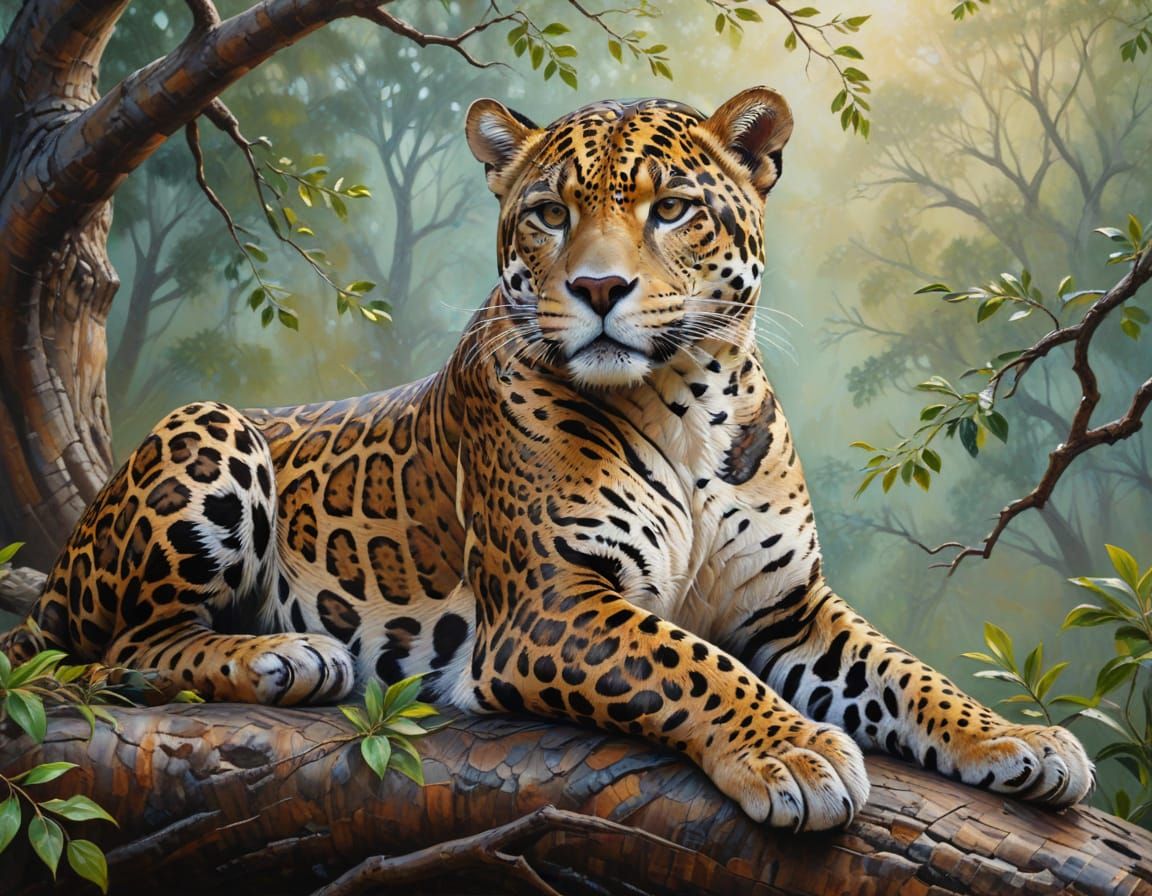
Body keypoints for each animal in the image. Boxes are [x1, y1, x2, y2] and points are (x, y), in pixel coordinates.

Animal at [1, 87, 1093, 831]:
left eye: (671, 209)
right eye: (549, 213)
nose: (600, 288)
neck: (688, 405)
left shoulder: (786, 605)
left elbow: (909, 672)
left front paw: (1020, 739)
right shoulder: (550, 603)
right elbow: (692, 663)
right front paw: (791, 752)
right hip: (210, 426)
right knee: (116, 649)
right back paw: (280, 652)